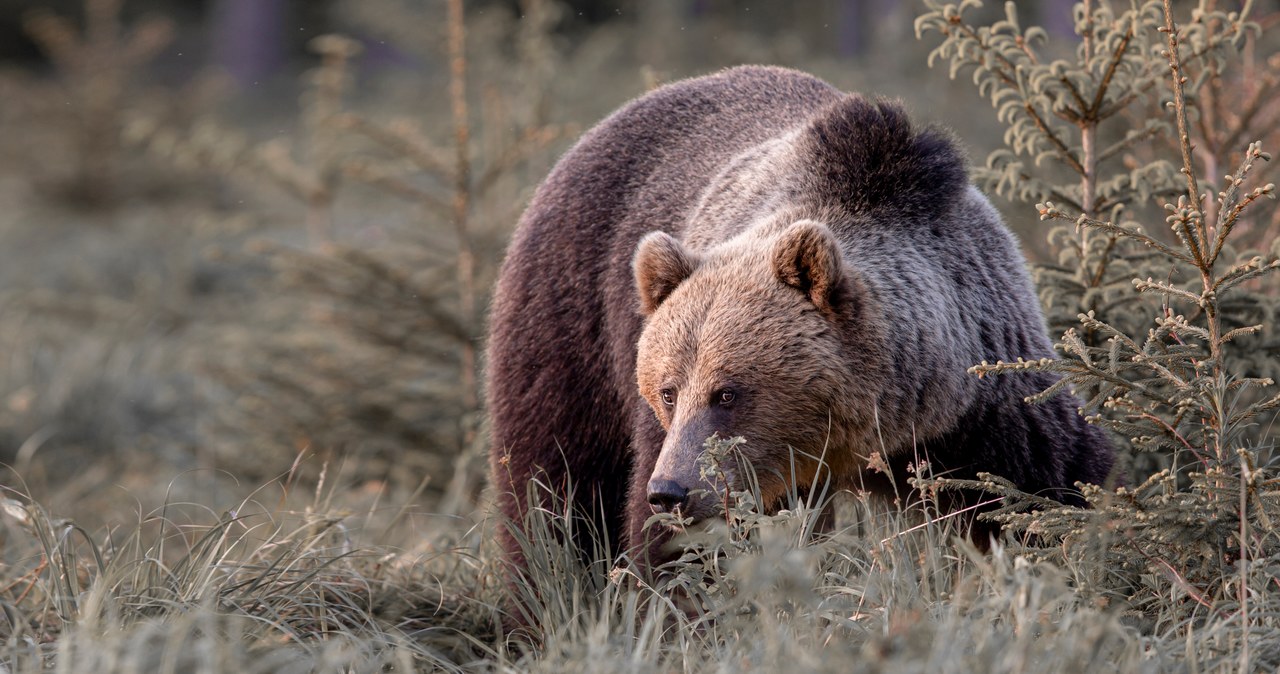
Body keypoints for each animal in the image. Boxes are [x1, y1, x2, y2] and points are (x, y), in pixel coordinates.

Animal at [483, 64, 1116, 575]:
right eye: (667, 390)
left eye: (728, 393)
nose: (672, 490)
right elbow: (675, 550)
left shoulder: (987, 410)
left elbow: (1039, 499)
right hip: (571, 311)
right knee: (554, 490)